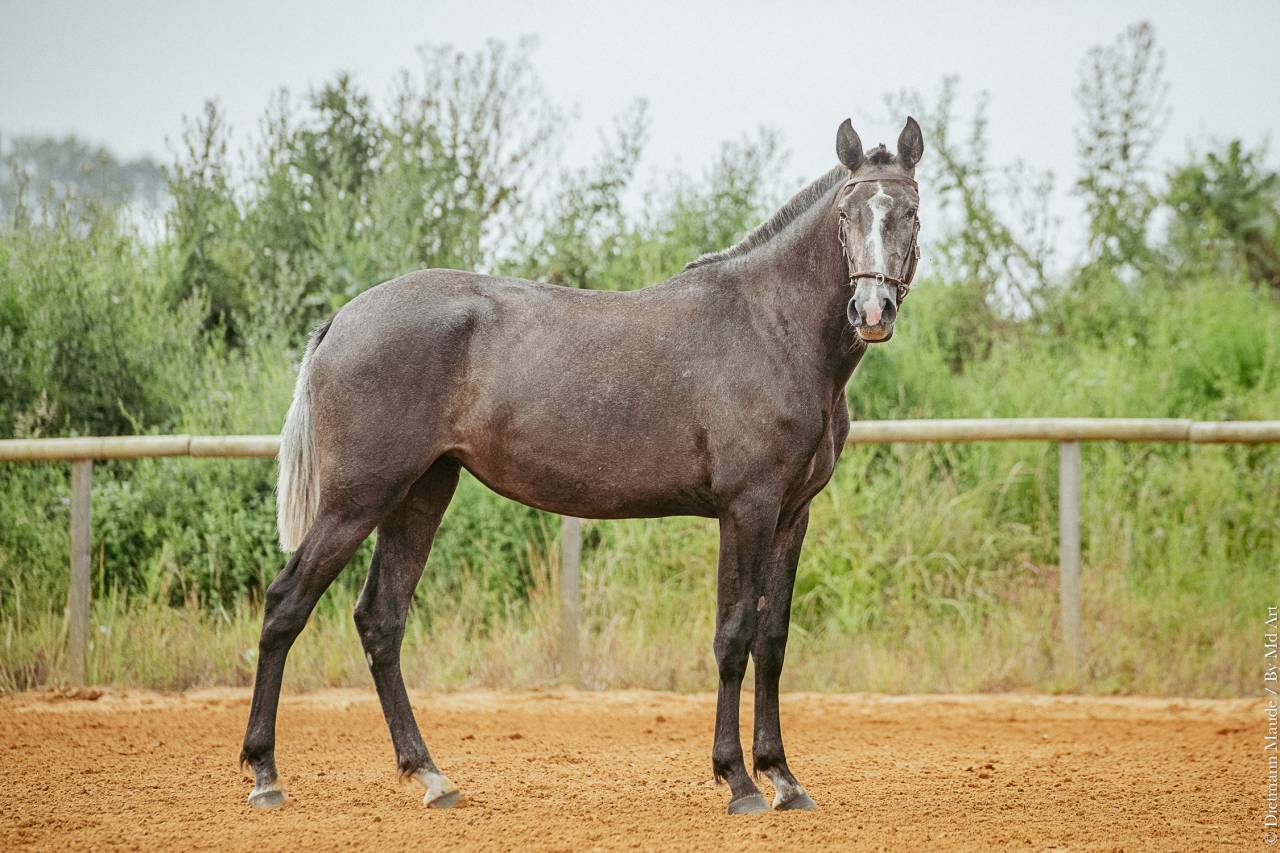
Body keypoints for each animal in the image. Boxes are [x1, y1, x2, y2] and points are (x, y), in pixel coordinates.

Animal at [240, 116, 924, 815]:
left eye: (910, 213)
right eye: (846, 214)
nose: (872, 313)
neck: (770, 327)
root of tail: (342, 321)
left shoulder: (792, 514)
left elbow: (773, 639)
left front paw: (783, 776)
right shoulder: (747, 508)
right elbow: (733, 636)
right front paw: (737, 780)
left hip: (421, 494)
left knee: (381, 620)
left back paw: (429, 775)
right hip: (357, 499)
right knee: (287, 604)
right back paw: (266, 773)